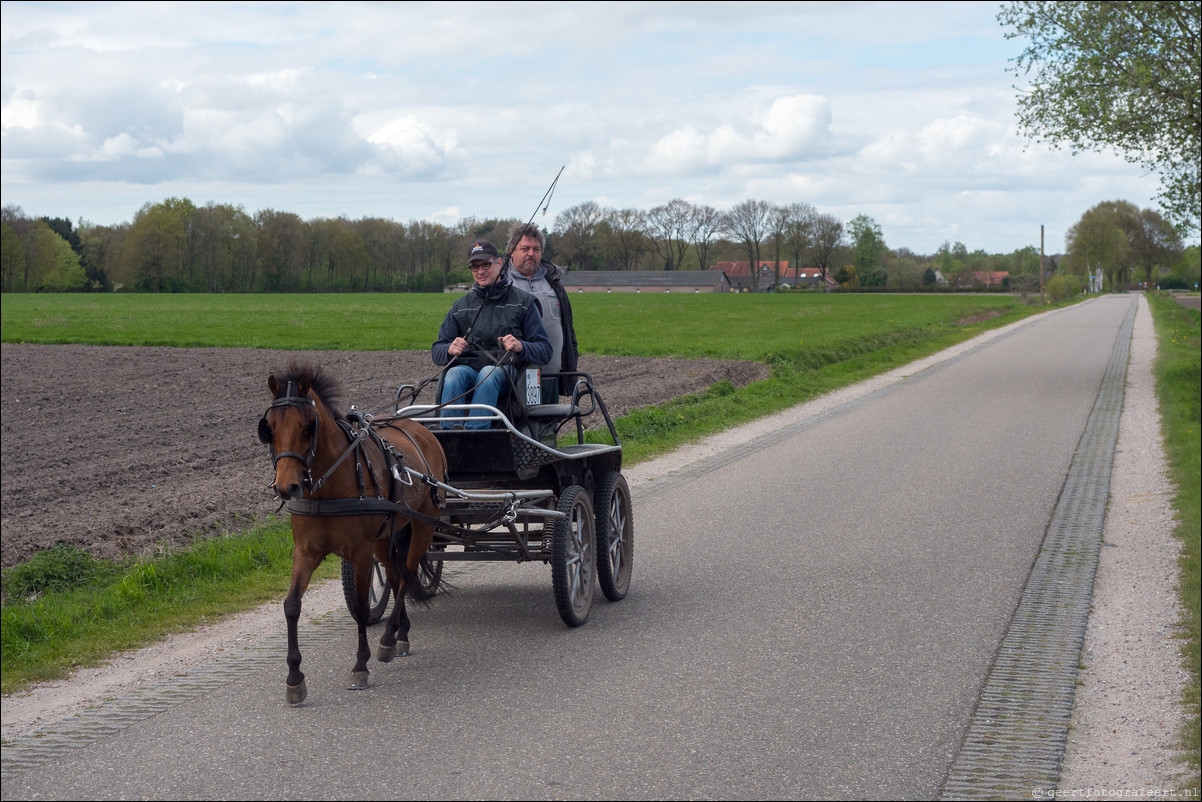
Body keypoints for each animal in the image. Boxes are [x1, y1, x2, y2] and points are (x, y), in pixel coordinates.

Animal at [259, 363, 451, 702]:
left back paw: (387, 639)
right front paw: (294, 678)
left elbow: (361, 609)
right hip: (385, 538)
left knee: (408, 575)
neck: (331, 486)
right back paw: (401, 634)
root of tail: (423, 430)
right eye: (269, 426)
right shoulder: (306, 551)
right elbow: (292, 606)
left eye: (308, 426)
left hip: (423, 525)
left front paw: (360, 667)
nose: (287, 487)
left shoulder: (360, 553)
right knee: (397, 575)